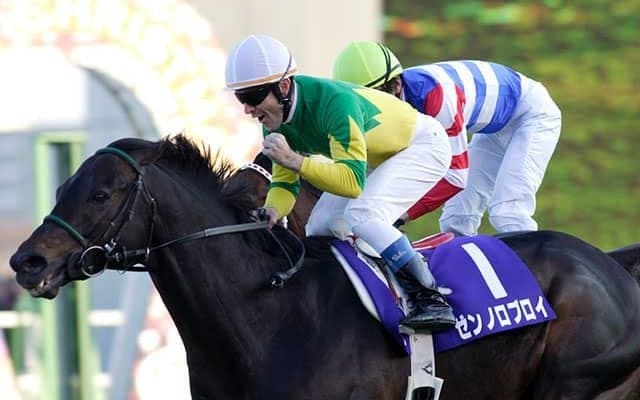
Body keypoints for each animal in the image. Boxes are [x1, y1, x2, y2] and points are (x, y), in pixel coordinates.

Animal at [9, 134, 640, 399]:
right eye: (63, 186)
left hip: (571, 384)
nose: (26, 260)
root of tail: (610, 266)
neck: (269, 315)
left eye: (101, 194)